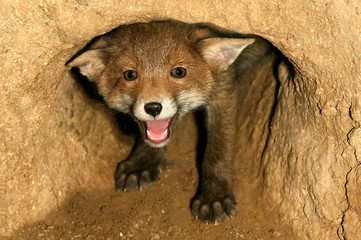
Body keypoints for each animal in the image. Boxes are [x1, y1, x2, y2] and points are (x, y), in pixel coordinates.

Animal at [66, 19, 282, 224]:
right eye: (130, 74)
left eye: (178, 72)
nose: (153, 108)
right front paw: (142, 163)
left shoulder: (223, 88)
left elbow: (217, 150)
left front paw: (214, 196)